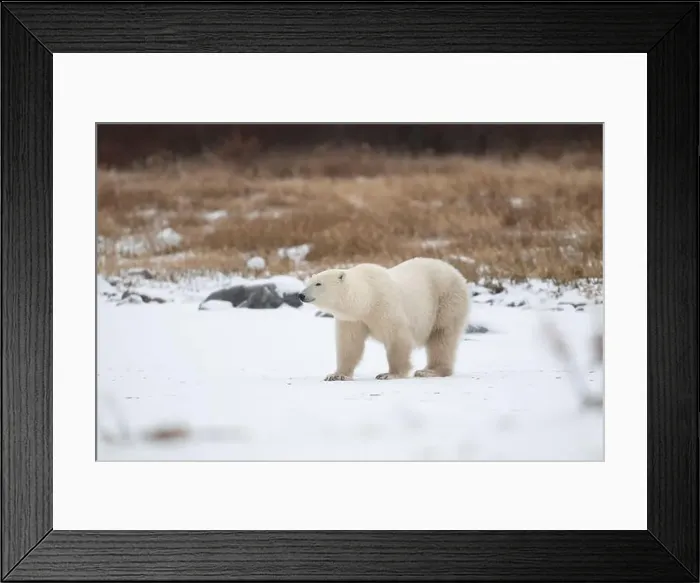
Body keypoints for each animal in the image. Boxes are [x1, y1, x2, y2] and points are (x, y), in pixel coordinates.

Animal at [298, 257, 470, 381]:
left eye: (318, 284)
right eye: (308, 282)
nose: (301, 295)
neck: (367, 299)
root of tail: (455, 271)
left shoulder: (384, 305)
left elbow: (397, 338)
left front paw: (390, 374)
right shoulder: (353, 319)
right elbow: (350, 344)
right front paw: (337, 375)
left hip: (446, 299)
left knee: (441, 336)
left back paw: (429, 371)